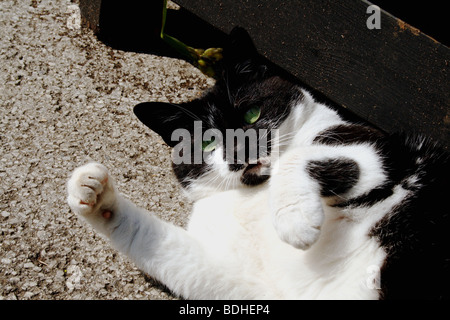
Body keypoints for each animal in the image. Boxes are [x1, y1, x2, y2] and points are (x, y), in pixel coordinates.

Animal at [67, 27, 450, 300]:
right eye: (206, 142)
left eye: (252, 113)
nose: (239, 151)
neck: (256, 196)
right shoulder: (240, 279)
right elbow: (154, 242)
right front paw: (93, 193)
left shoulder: (385, 152)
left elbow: (297, 155)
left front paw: (295, 221)